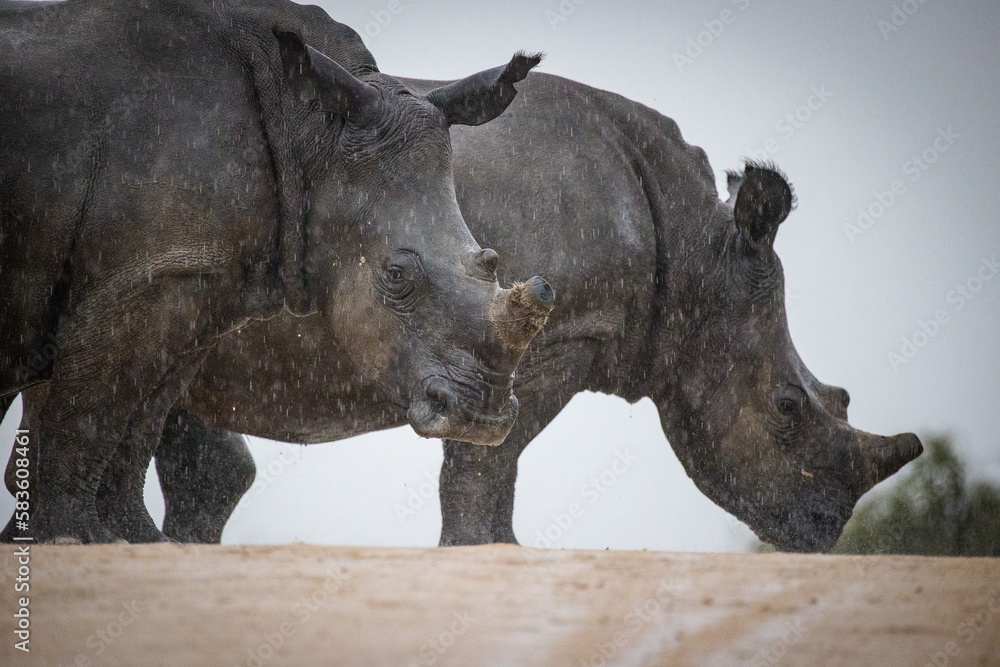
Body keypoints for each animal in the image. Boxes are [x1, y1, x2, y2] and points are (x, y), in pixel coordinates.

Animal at [0, 0, 550, 543]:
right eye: (396, 275)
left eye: (491, 262)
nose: (482, 417)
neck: (311, 133)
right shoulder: (141, 276)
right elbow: (88, 413)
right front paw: (71, 539)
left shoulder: (182, 278)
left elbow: (139, 418)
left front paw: (138, 541)